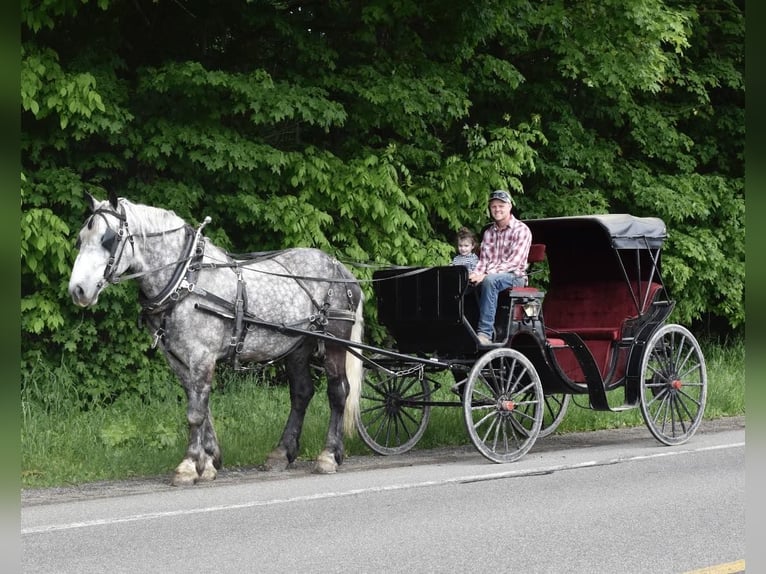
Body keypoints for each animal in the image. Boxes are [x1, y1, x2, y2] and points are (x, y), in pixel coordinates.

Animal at [67, 192, 364, 486]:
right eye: (81, 239)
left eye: (108, 239)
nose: (77, 290)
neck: (186, 280)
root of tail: (342, 271)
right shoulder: (179, 360)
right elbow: (202, 407)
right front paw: (209, 462)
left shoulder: (202, 356)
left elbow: (195, 413)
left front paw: (188, 466)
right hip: (298, 347)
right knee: (301, 393)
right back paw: (282, 453)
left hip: (336, 341)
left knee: (339, 392)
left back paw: (329, 455)